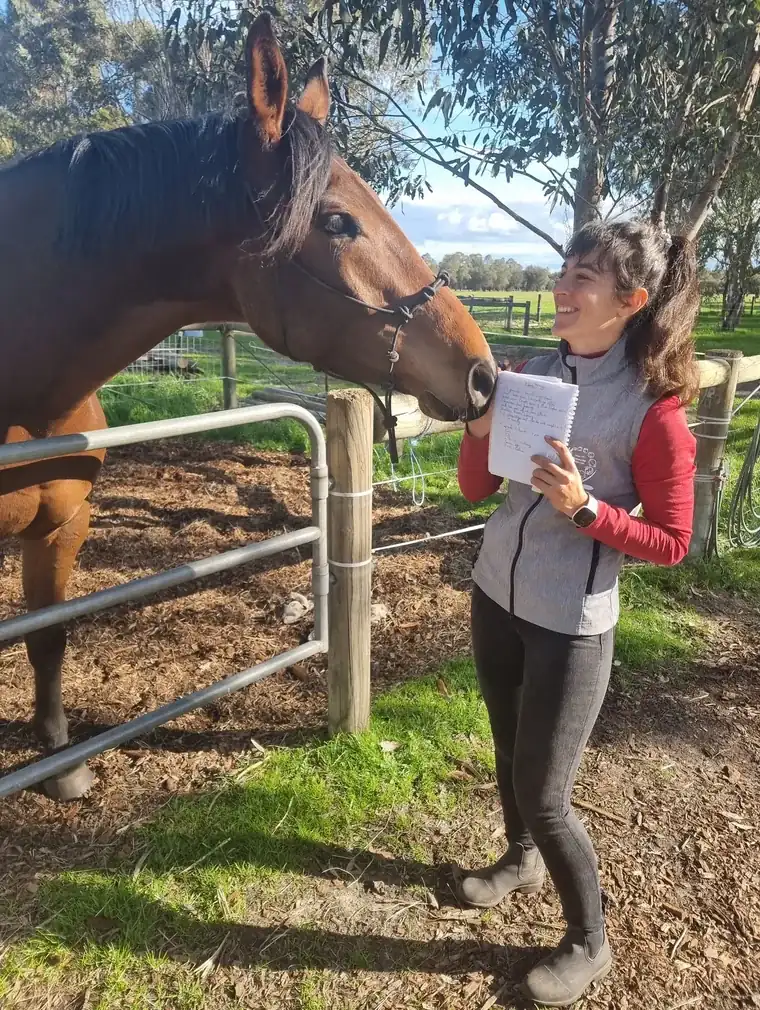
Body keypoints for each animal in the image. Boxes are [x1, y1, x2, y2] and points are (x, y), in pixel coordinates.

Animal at [0, 13, 496, 802]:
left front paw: (62, 762)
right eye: (338, 222)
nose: (483, 373)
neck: (28, 392)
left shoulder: (62, 526)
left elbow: (49, 636)